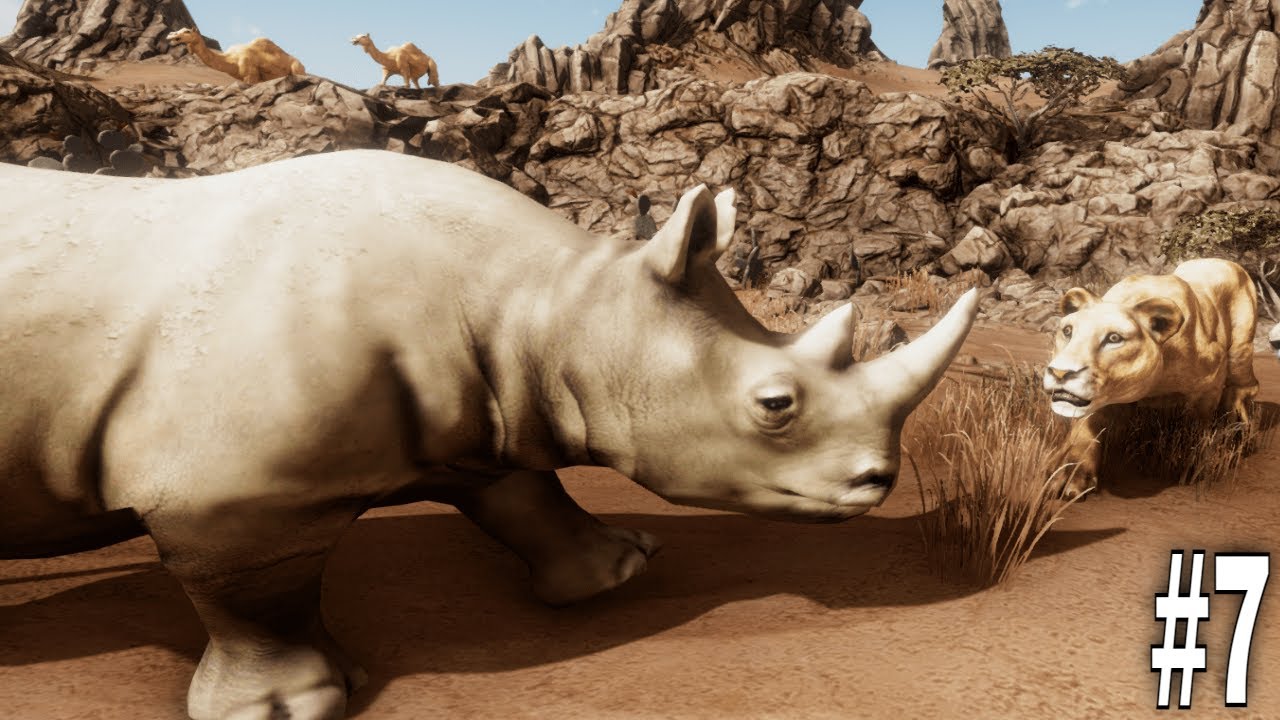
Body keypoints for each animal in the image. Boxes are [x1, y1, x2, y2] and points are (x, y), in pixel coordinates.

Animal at [0, 150, 977, 720]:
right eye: (775, 406)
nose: (878, 480)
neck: (549, 303)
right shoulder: (229, 491)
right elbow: (257, 594)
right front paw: (294, 705)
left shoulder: (485, 407)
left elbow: (523, 496)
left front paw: (616, 572)